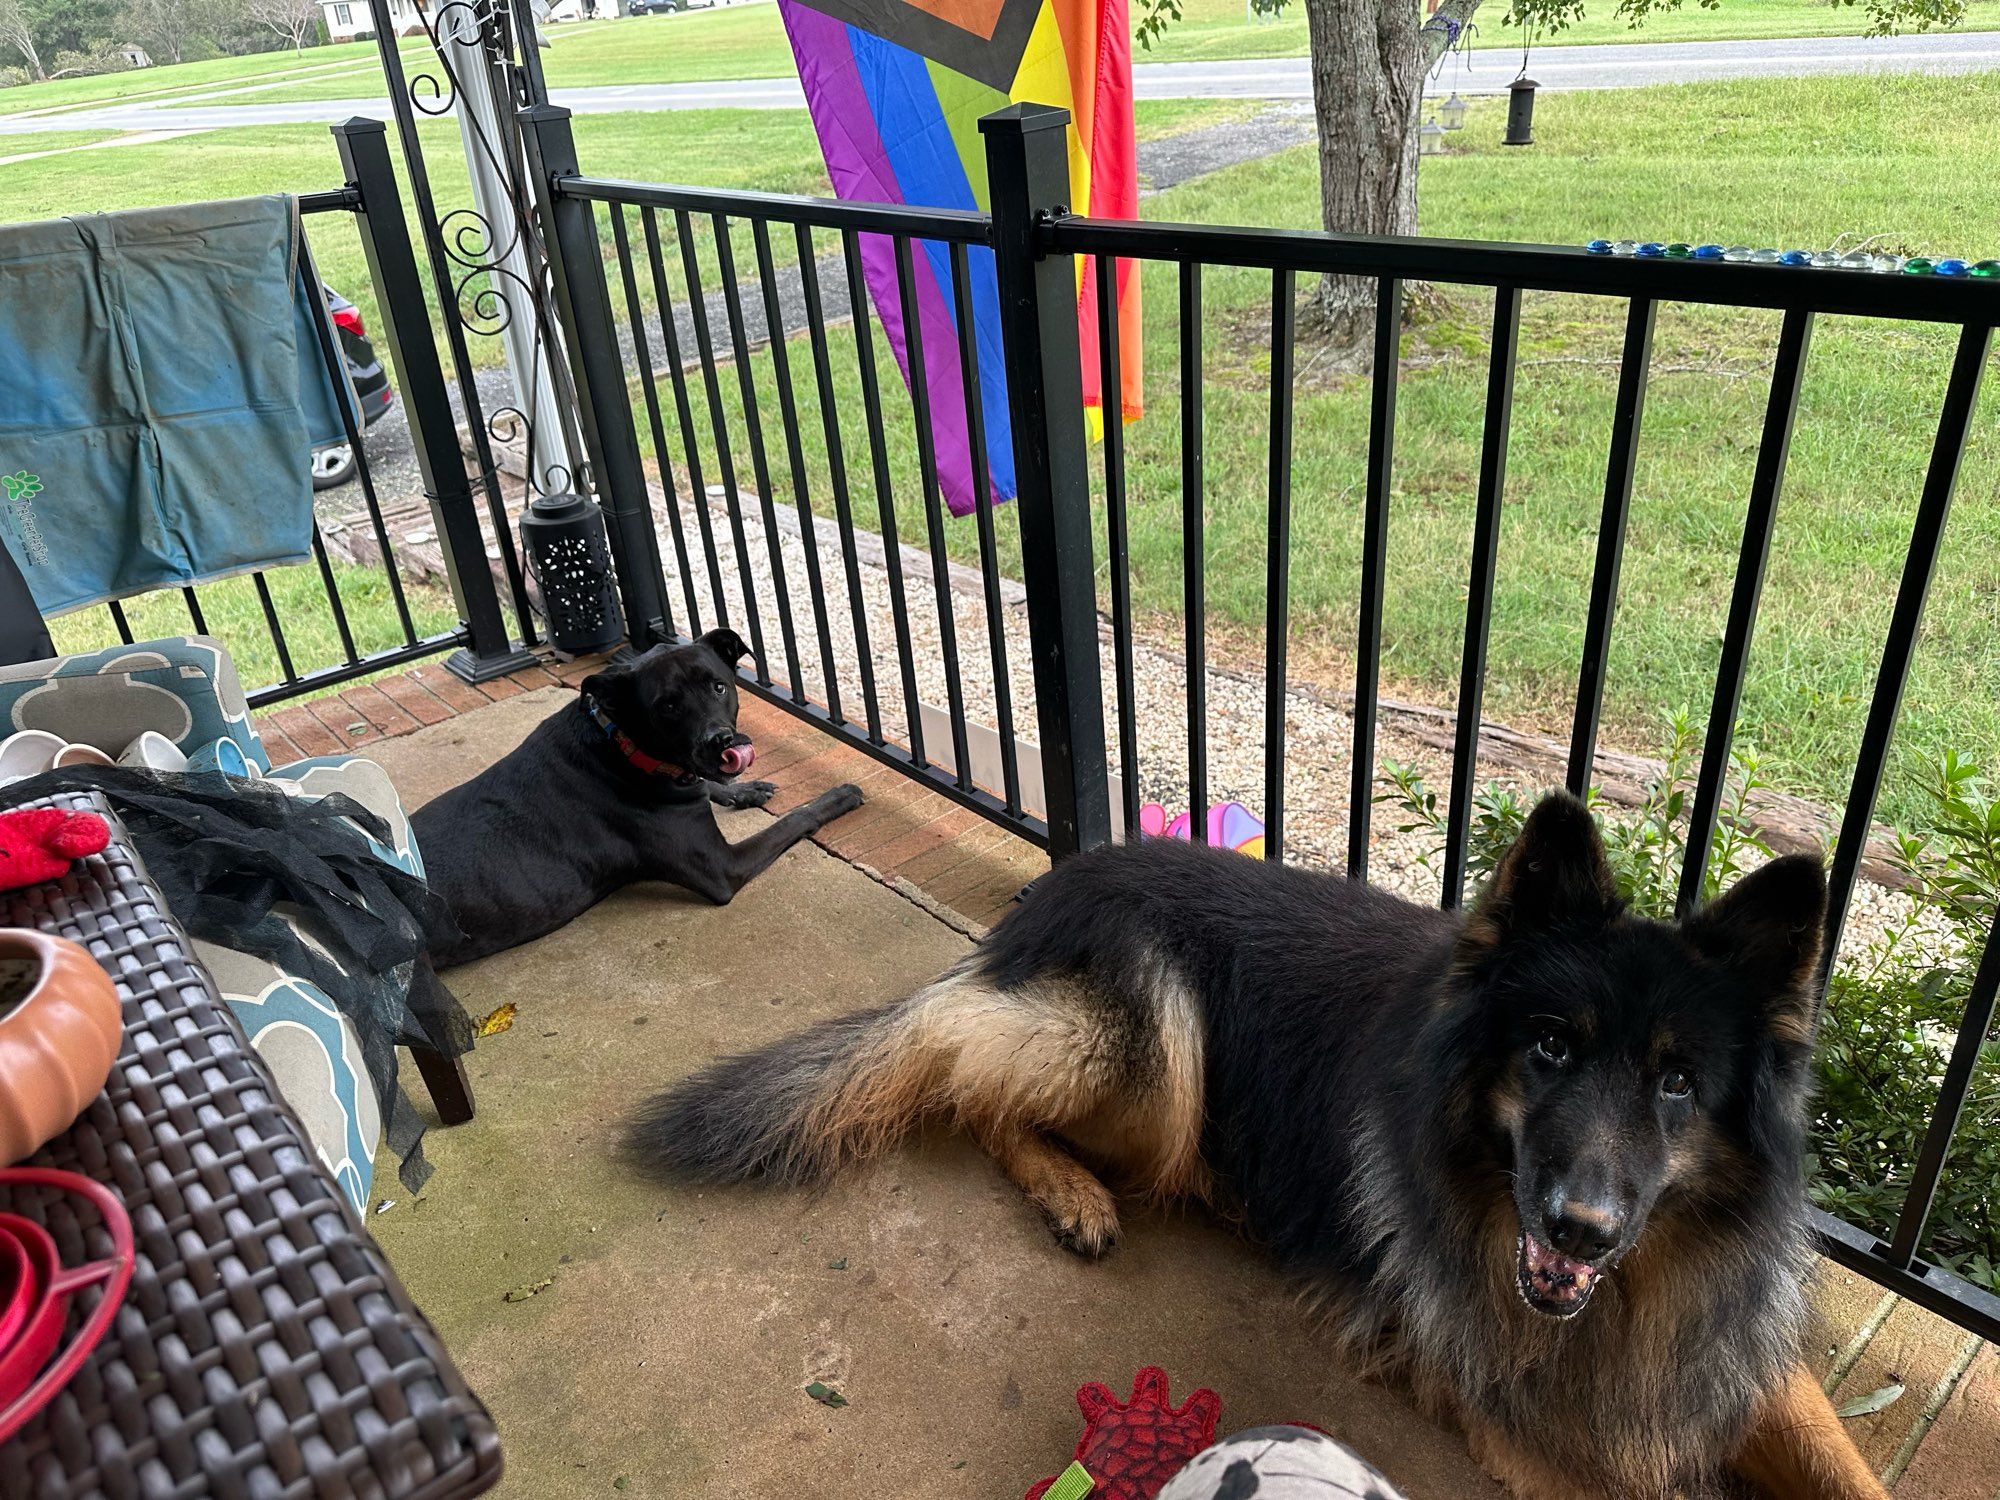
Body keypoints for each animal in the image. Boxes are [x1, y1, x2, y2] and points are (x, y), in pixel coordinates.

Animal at [414, 628, 860, 968]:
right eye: (668, 706)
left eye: (719, 686)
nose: (722, 742)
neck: (621, 744)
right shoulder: (723, 867)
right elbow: (794, 818)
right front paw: (839, 796)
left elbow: (712, 784)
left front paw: (744, 790)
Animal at [624, 792, 1888, 1496]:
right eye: (1547, 1048)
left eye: (1677, 1083)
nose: (1577, 1229)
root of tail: (1060, 876)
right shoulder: (1523, 1419)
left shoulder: (1736, 1359)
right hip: (1154, 1056)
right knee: (962, 1077)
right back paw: (1071, 1192)